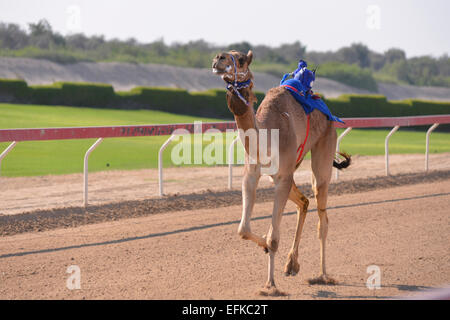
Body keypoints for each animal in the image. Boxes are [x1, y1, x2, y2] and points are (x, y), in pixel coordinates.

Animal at [212, 49, 352, 296]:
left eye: (240, 59)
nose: (218, 59)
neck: (266, 137)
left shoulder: (281, 178)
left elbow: (274, 237)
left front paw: (270, 285)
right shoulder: (252, 175)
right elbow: (243, 229)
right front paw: (265, 248)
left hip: (324, 148)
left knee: (321, 214)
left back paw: (322, 275)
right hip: (290, 170)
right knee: (304, 202)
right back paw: (291, 264)